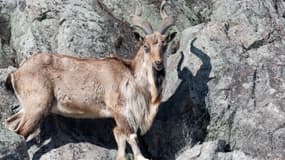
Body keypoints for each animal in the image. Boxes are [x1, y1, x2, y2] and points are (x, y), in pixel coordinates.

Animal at [5, 1, 175, 160]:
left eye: (164, 44)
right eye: (145, 46)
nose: (158, 63)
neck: (132, 76)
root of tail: (17, 73)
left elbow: (119, 137)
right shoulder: (120, 111)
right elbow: (131, 136)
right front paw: (141, 156)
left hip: (27, 107)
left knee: (10, 124)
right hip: (37, 107)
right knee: (21, 132)